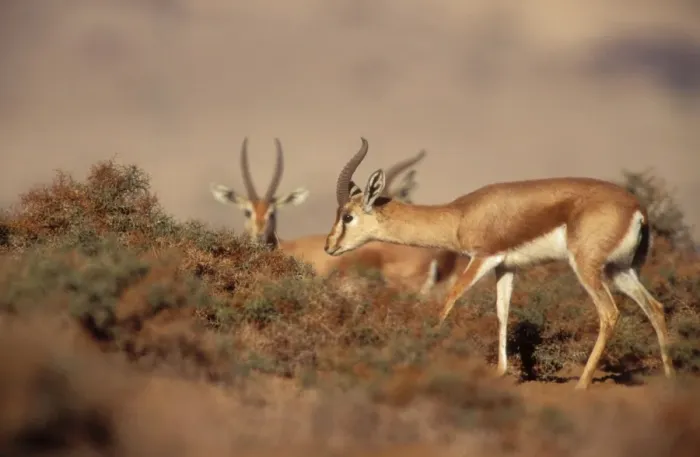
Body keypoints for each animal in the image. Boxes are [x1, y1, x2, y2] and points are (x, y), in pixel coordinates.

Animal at [324, 138, 676, 390]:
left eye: (348, 216)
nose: (329, 246)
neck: (459, 214)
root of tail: (637, 209)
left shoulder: (482, 257)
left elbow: (449, 299)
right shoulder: (506, 266)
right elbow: (502, 312)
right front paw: (501, 372)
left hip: (589, 269)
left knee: (609, 313)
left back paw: (582, 384)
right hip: (620, 271)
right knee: (655, 308)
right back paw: (671, 379)